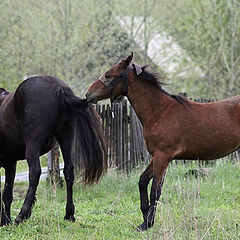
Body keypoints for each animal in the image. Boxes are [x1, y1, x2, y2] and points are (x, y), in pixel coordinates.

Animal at [0, 76, 106, 226]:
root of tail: (59, 88)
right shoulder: (11, 164)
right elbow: (7, 194)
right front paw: (5, 220)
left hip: (33, 144)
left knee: (35, 172)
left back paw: (22, 214)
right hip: (66, 138)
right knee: (69, 171)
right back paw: (69, 214)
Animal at [86, 52, 240, 231]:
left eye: (108, 75)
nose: (88, 94)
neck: (160, 112)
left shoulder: (163, 156)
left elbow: (155, 190)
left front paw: (147, 223)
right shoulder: (157, 156)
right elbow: (143, 181)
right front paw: (145, 219)